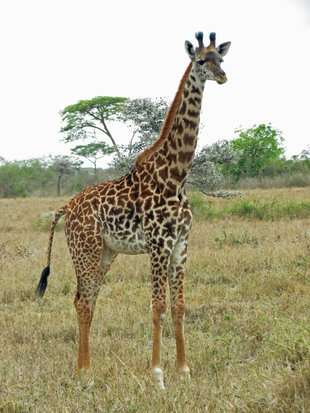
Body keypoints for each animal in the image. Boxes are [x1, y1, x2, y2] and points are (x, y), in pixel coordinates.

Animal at [35, 31, 230, 386]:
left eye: (220, 59)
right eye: (200, 61)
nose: (222, 76)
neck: (176, 175)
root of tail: (66, 207)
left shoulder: (181, 245)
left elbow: (179, 306)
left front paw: (184, 370)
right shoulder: (158, 245)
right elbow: (158, 306)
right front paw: (157, 374)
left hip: (105, 253)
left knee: (87, 300)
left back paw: (83, 368)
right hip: (85, 250)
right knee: (82, 301)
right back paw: (86, 373)